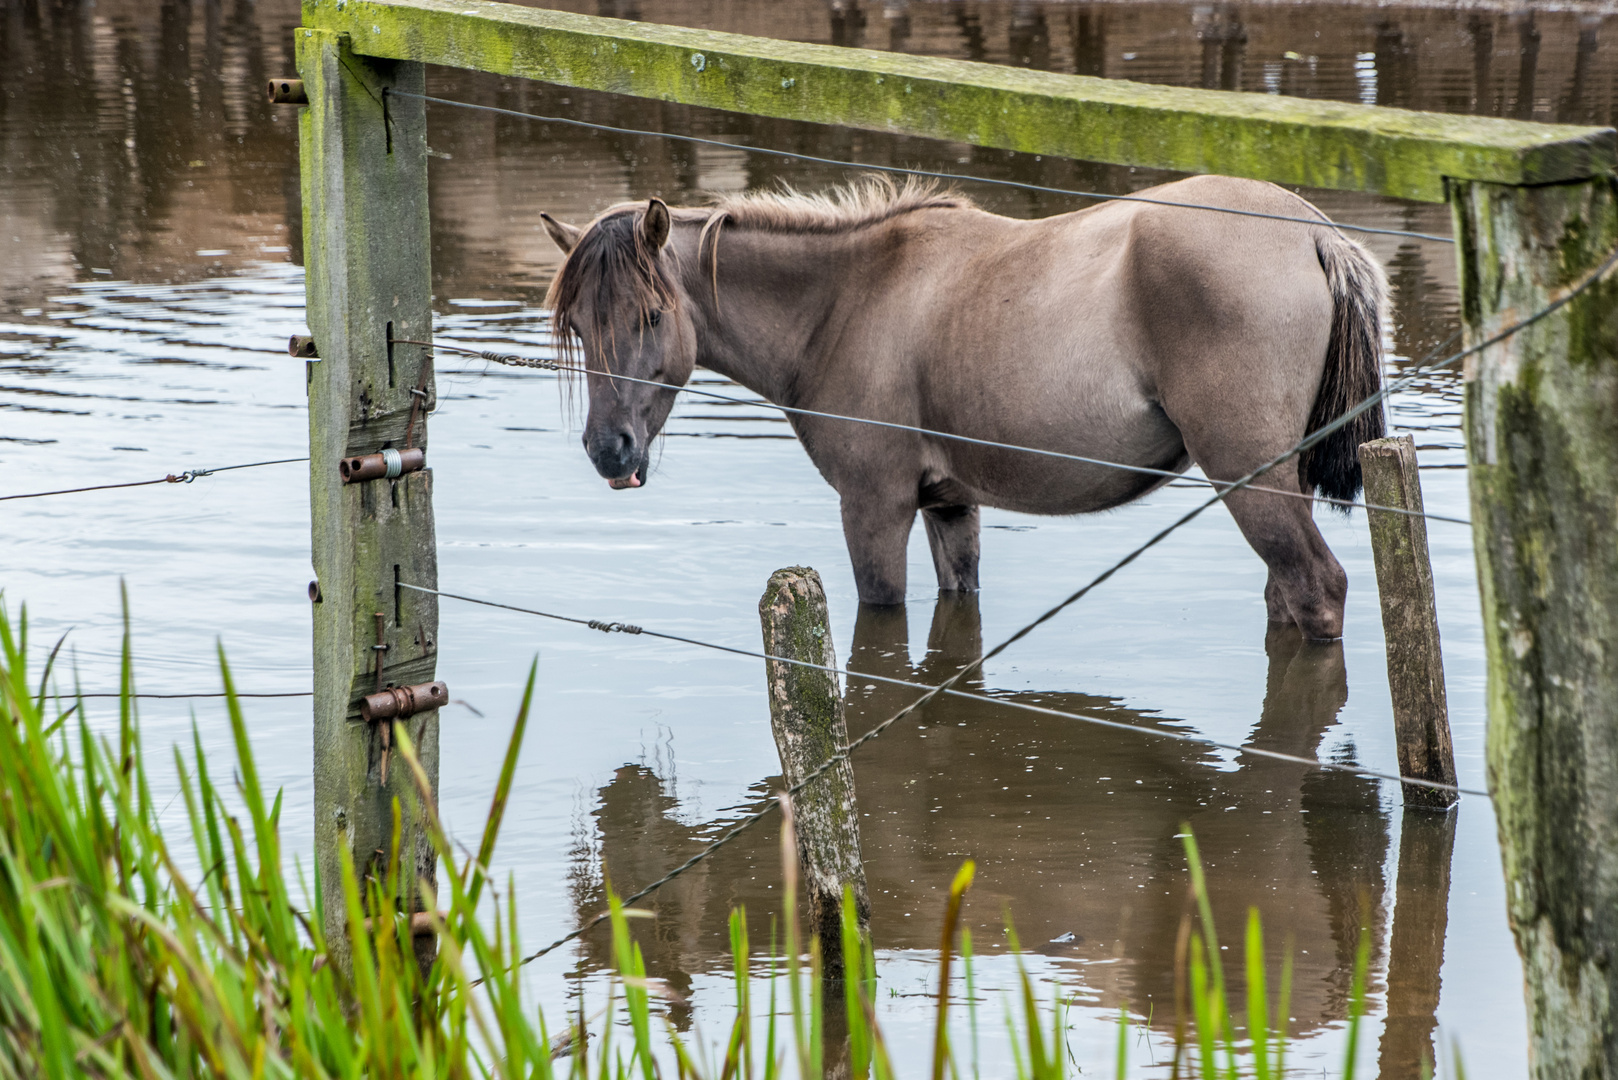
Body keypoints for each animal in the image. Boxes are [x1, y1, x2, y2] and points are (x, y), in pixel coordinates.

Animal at [540, 173, 1378, 637]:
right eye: (577, 325)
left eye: (652, 316)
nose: (609, 449)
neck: (846, 301)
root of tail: (1315, 237)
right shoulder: (950, 506)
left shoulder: (874, 509)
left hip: (1252, 481)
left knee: (1317, 589)